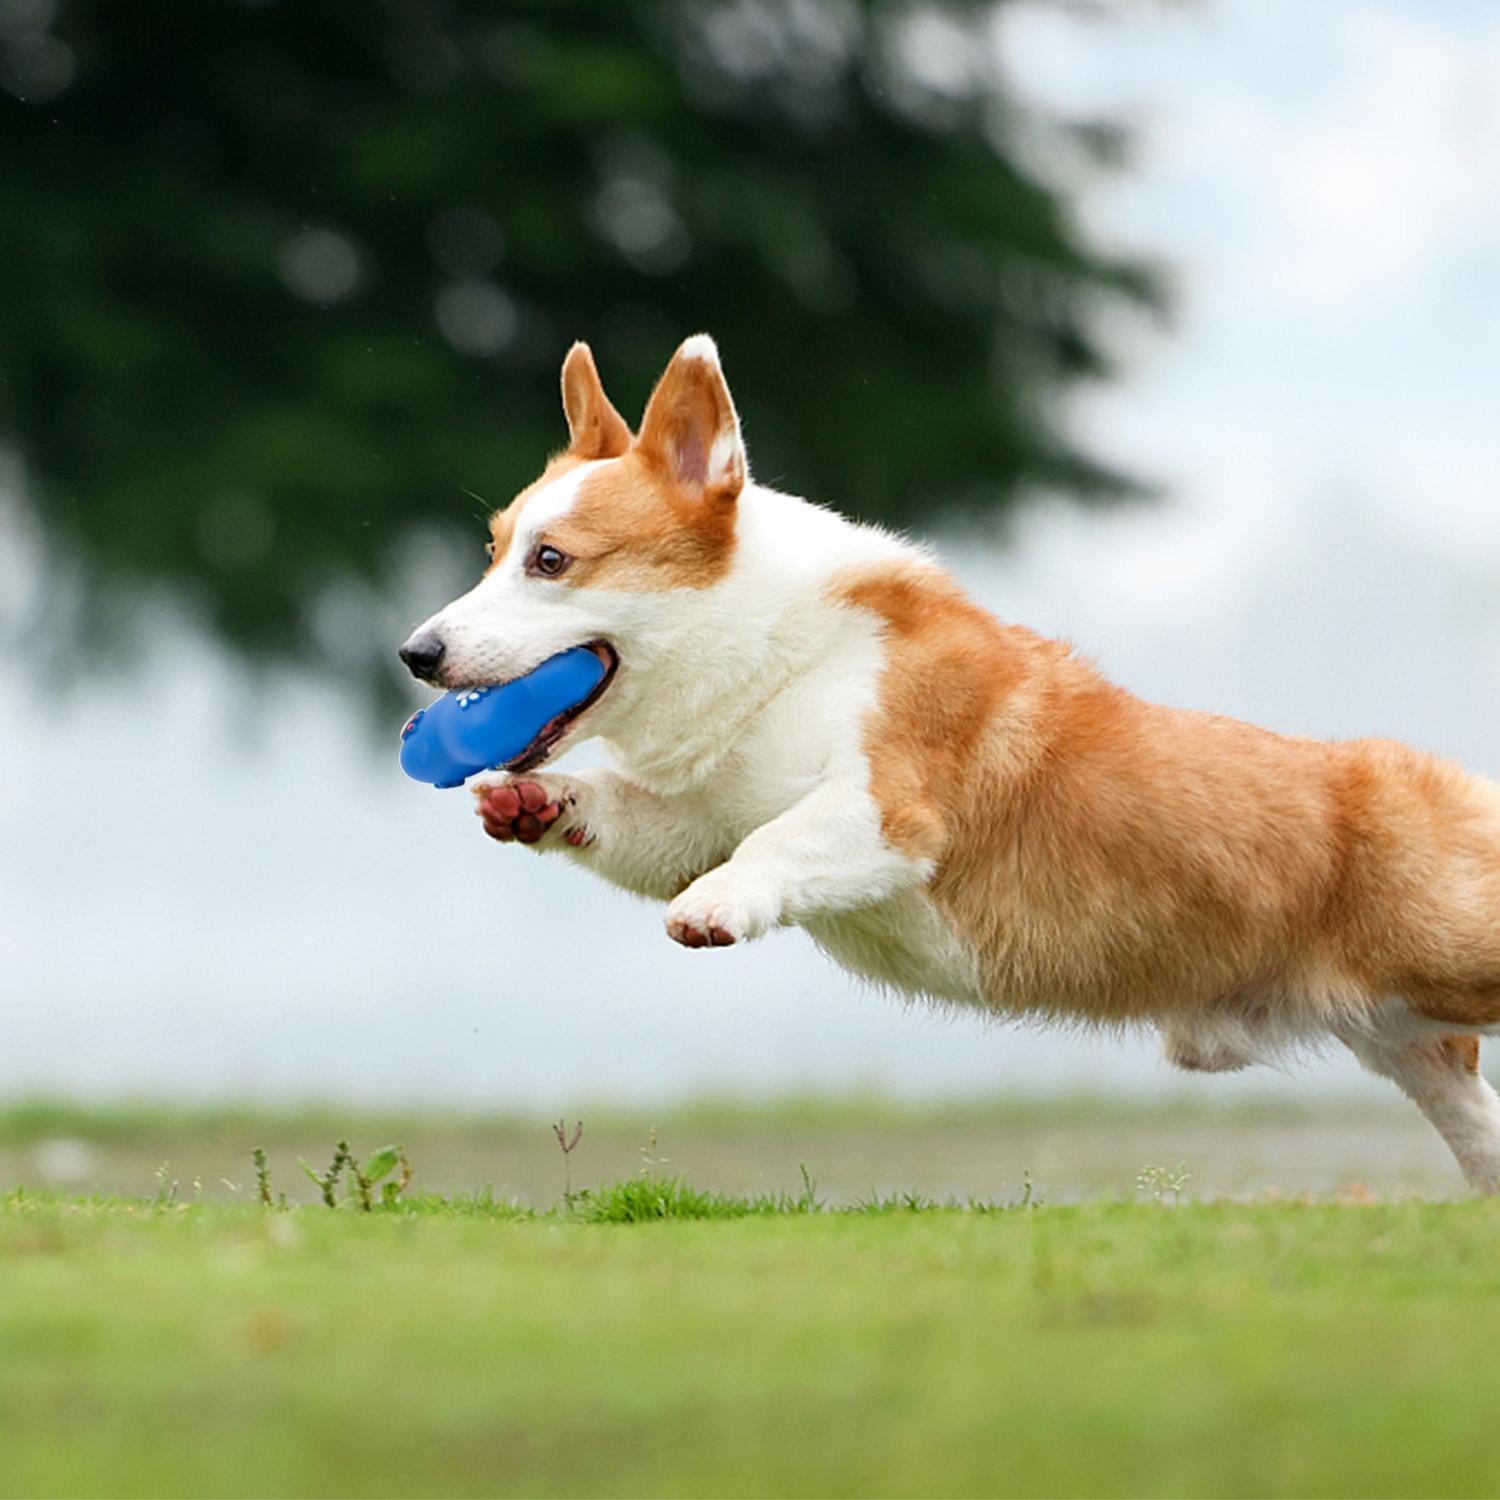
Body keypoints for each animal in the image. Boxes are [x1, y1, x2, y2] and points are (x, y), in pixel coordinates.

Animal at [399, 334, 1500, 1188]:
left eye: (552, 561)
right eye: (492, 550)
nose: (416, 655)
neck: (770, 657)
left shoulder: (891, 810)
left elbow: (777, 844)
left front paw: (714, 910)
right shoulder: (699, 816)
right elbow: (633, 818)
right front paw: (528, 802)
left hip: (1451, 951)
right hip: (1410, 1041)